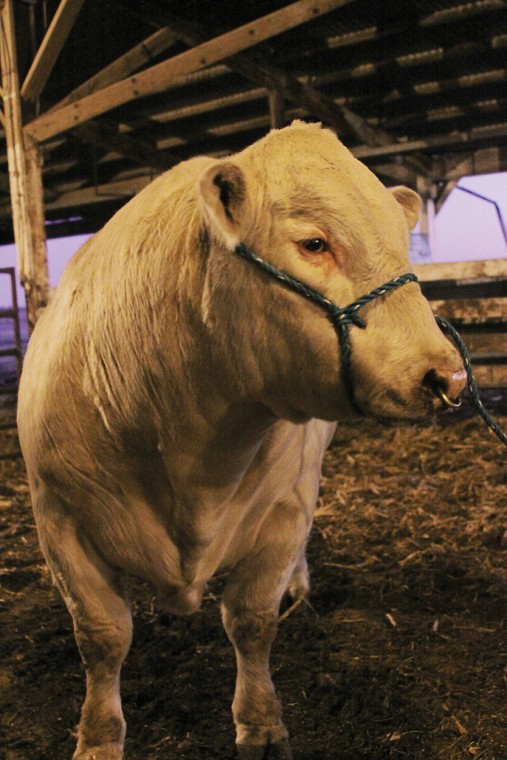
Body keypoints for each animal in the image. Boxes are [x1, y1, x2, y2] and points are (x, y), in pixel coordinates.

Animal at [17, 121, 466, 760]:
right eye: (314, 243)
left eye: (405, 247)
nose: (447, 375)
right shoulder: (58, 517)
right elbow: (102, 635)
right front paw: (99, 738)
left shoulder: (286, 507)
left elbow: (252, 622)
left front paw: (261, 725)